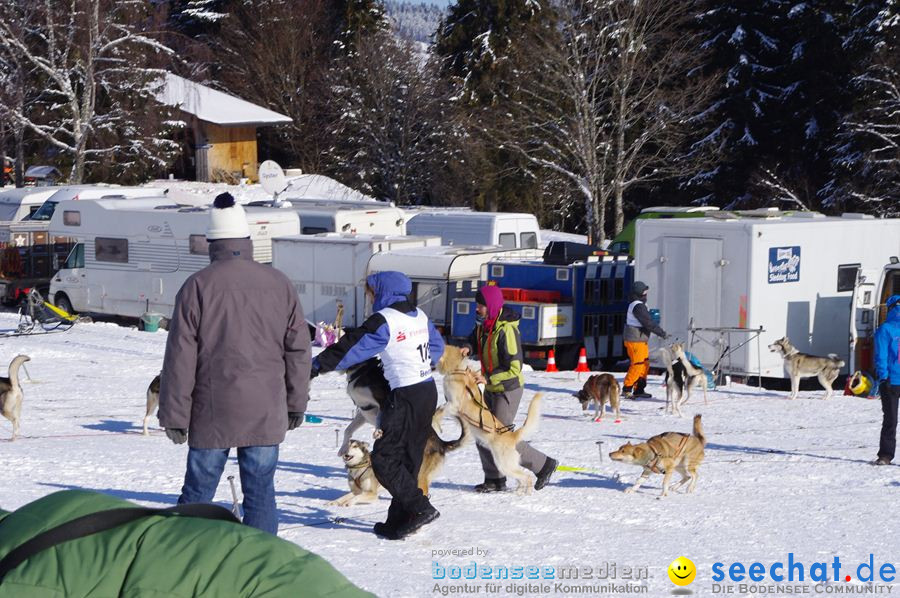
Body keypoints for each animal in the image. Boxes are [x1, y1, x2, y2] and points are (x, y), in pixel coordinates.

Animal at [436, 346, 540, 496]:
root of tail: (512, 436)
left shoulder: (453, 404)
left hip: (504, 464)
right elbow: (439, 410)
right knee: (521, 478)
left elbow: (438, 412)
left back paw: (526, 493)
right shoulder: (450, 405)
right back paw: (518, 491)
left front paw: (435, 423)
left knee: (527, 476)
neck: (457, 370)